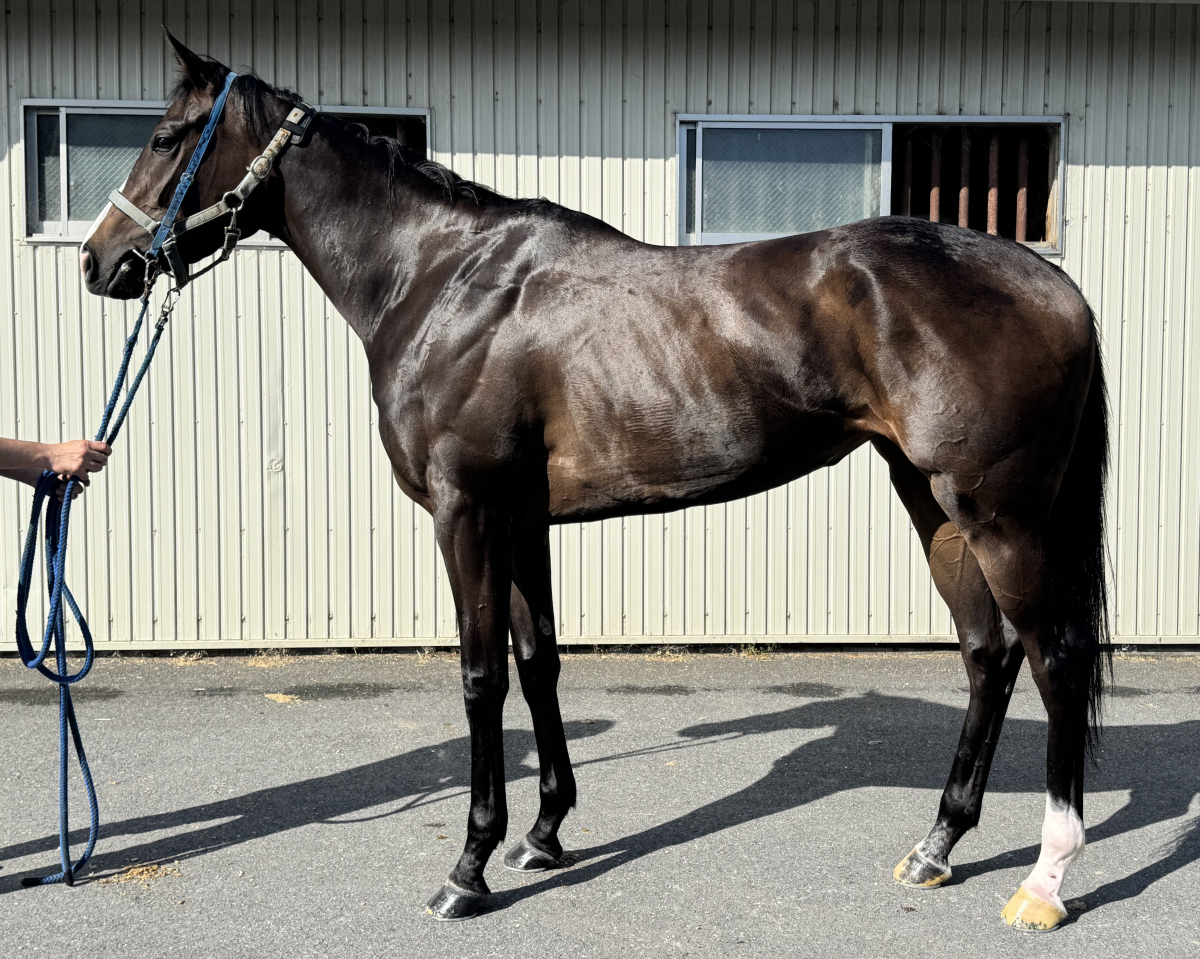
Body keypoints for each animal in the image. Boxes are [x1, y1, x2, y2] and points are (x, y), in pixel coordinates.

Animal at [80, 34, 1109, 931]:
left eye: (166, 137)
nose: (99, 261)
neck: (439, 279)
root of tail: (1056, 285)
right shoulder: (522, 519)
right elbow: (539, 662)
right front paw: (543, 834)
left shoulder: (468, 513)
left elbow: (482, 675)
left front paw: (468, 868)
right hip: (932, 502)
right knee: (988, 653)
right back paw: (938, 843)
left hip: (999, 512)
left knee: (1054, 658)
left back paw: (1044, 881)